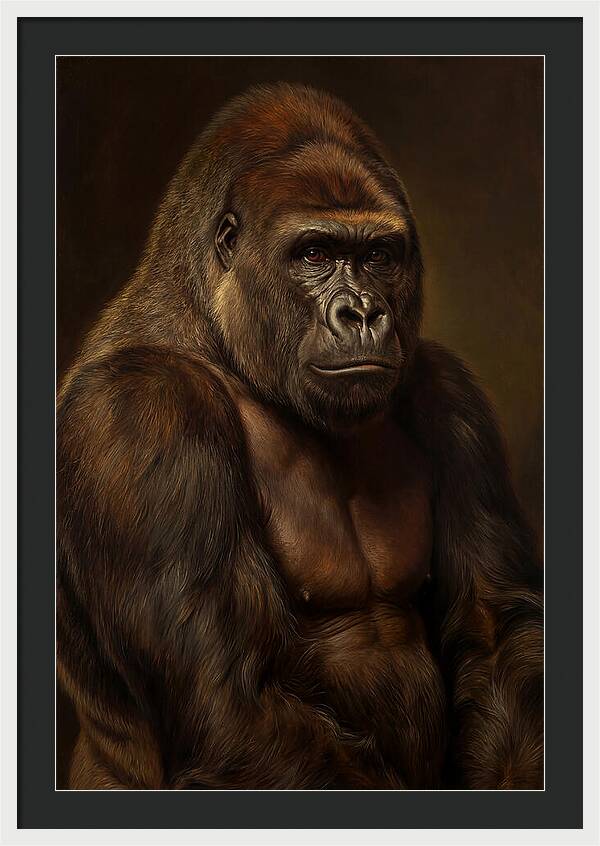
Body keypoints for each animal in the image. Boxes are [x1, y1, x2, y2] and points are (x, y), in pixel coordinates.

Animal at [57, 82, 543, 790]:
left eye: (377, 256)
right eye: (313, 254)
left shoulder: (449, 393)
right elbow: (227, 702)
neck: (218, 335)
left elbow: (495, 629)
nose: (363, 313)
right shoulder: (141, 412)